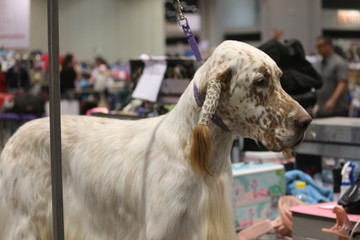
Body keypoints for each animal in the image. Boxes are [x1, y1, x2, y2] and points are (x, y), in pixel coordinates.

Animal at [0, 40, 310, 239]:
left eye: (280, 78)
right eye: (260, 81)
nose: (306, 122)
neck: (199, 156)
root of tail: (15, 135)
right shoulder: (164, 228)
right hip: (26, 221)